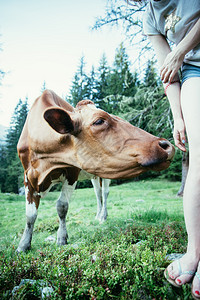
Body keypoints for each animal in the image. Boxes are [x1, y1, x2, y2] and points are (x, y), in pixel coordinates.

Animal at [16, 90, 174, 252]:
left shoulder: (72, 172)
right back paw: (98, 216)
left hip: (104, 175)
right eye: (99, 121)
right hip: (95, 175)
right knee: (98, 194)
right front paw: (23, 245)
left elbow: (62, 206)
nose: (166, 145)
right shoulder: (28, 176)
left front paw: (61, 238)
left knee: (104, 193)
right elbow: (30, 214)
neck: (46, 164)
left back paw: (103, 216)